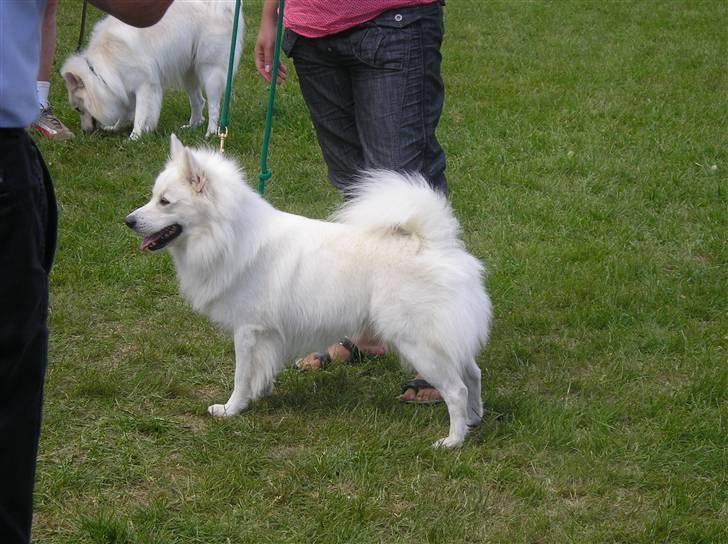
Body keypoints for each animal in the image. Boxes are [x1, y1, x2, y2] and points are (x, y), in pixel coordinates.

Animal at [61, 1, 243, 140]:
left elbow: (141, 114)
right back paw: (192, 126)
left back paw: (211, 133)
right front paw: (116, 127)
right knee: (199, 101)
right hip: (188, 74)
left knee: (213, 106)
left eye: (78, 109)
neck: (99, 71)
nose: (85, 132)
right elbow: (126, 112)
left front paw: (135, 136)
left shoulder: (145, 85)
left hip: (210, 71)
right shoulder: (124, 87)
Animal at [125, 137, 492, 450]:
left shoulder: (247, 330)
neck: (228, 236)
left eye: (165, 202)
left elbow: (241, 375)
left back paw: (453, 440)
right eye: (152, 196)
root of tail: (433, 243)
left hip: (419, 342)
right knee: (473, 374)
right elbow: (259, 370)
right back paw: (474, 420)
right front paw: (259, 394)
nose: (128, 220)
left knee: (457, 389)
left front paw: (231, 409)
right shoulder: (265, 334)